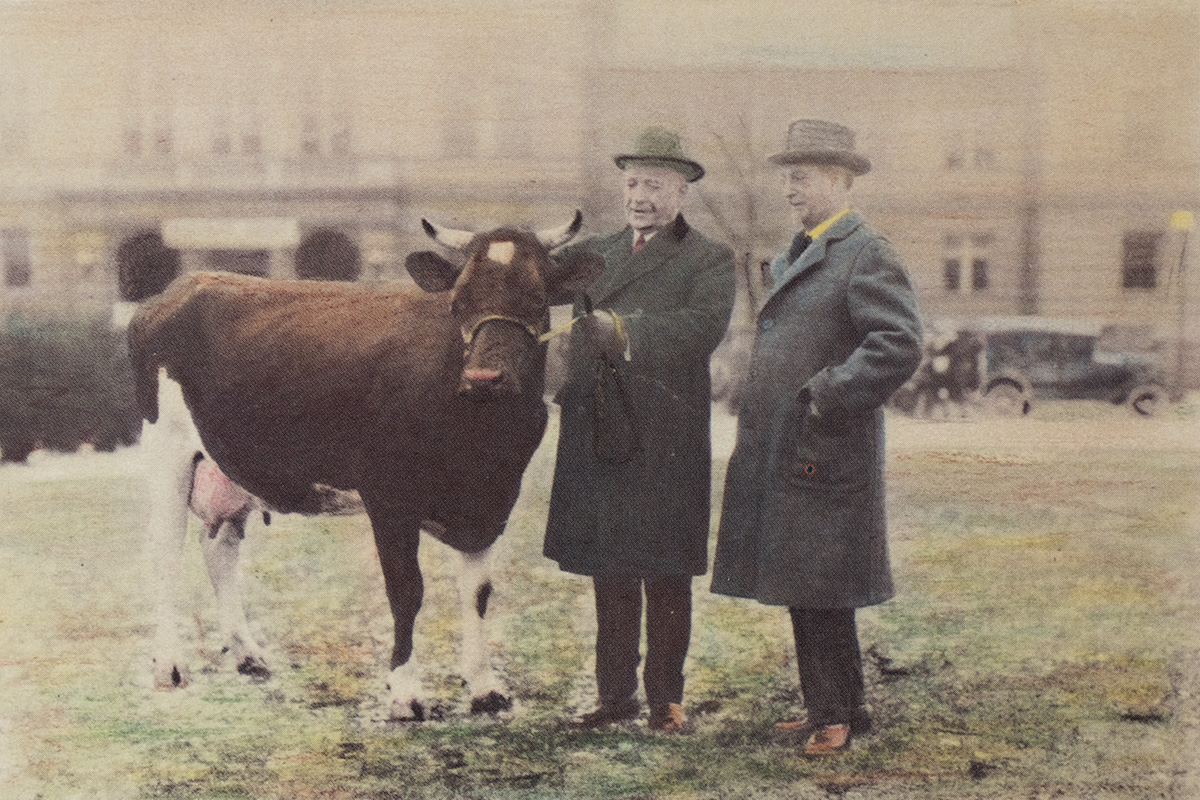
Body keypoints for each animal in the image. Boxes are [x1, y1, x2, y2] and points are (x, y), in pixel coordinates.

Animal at [128, 212, 604, 720]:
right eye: (458, 303)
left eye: (537, 300)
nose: (484, 377)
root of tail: (180, 287)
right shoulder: (389, 495)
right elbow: (406, 590)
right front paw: (405, 692)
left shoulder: (492, 499)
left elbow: (477, 593)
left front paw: (484, 688)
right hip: (168, 450)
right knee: (164, 553)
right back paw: (169, 667)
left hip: (230, 465)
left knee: (219, 549)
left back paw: (249, 655)